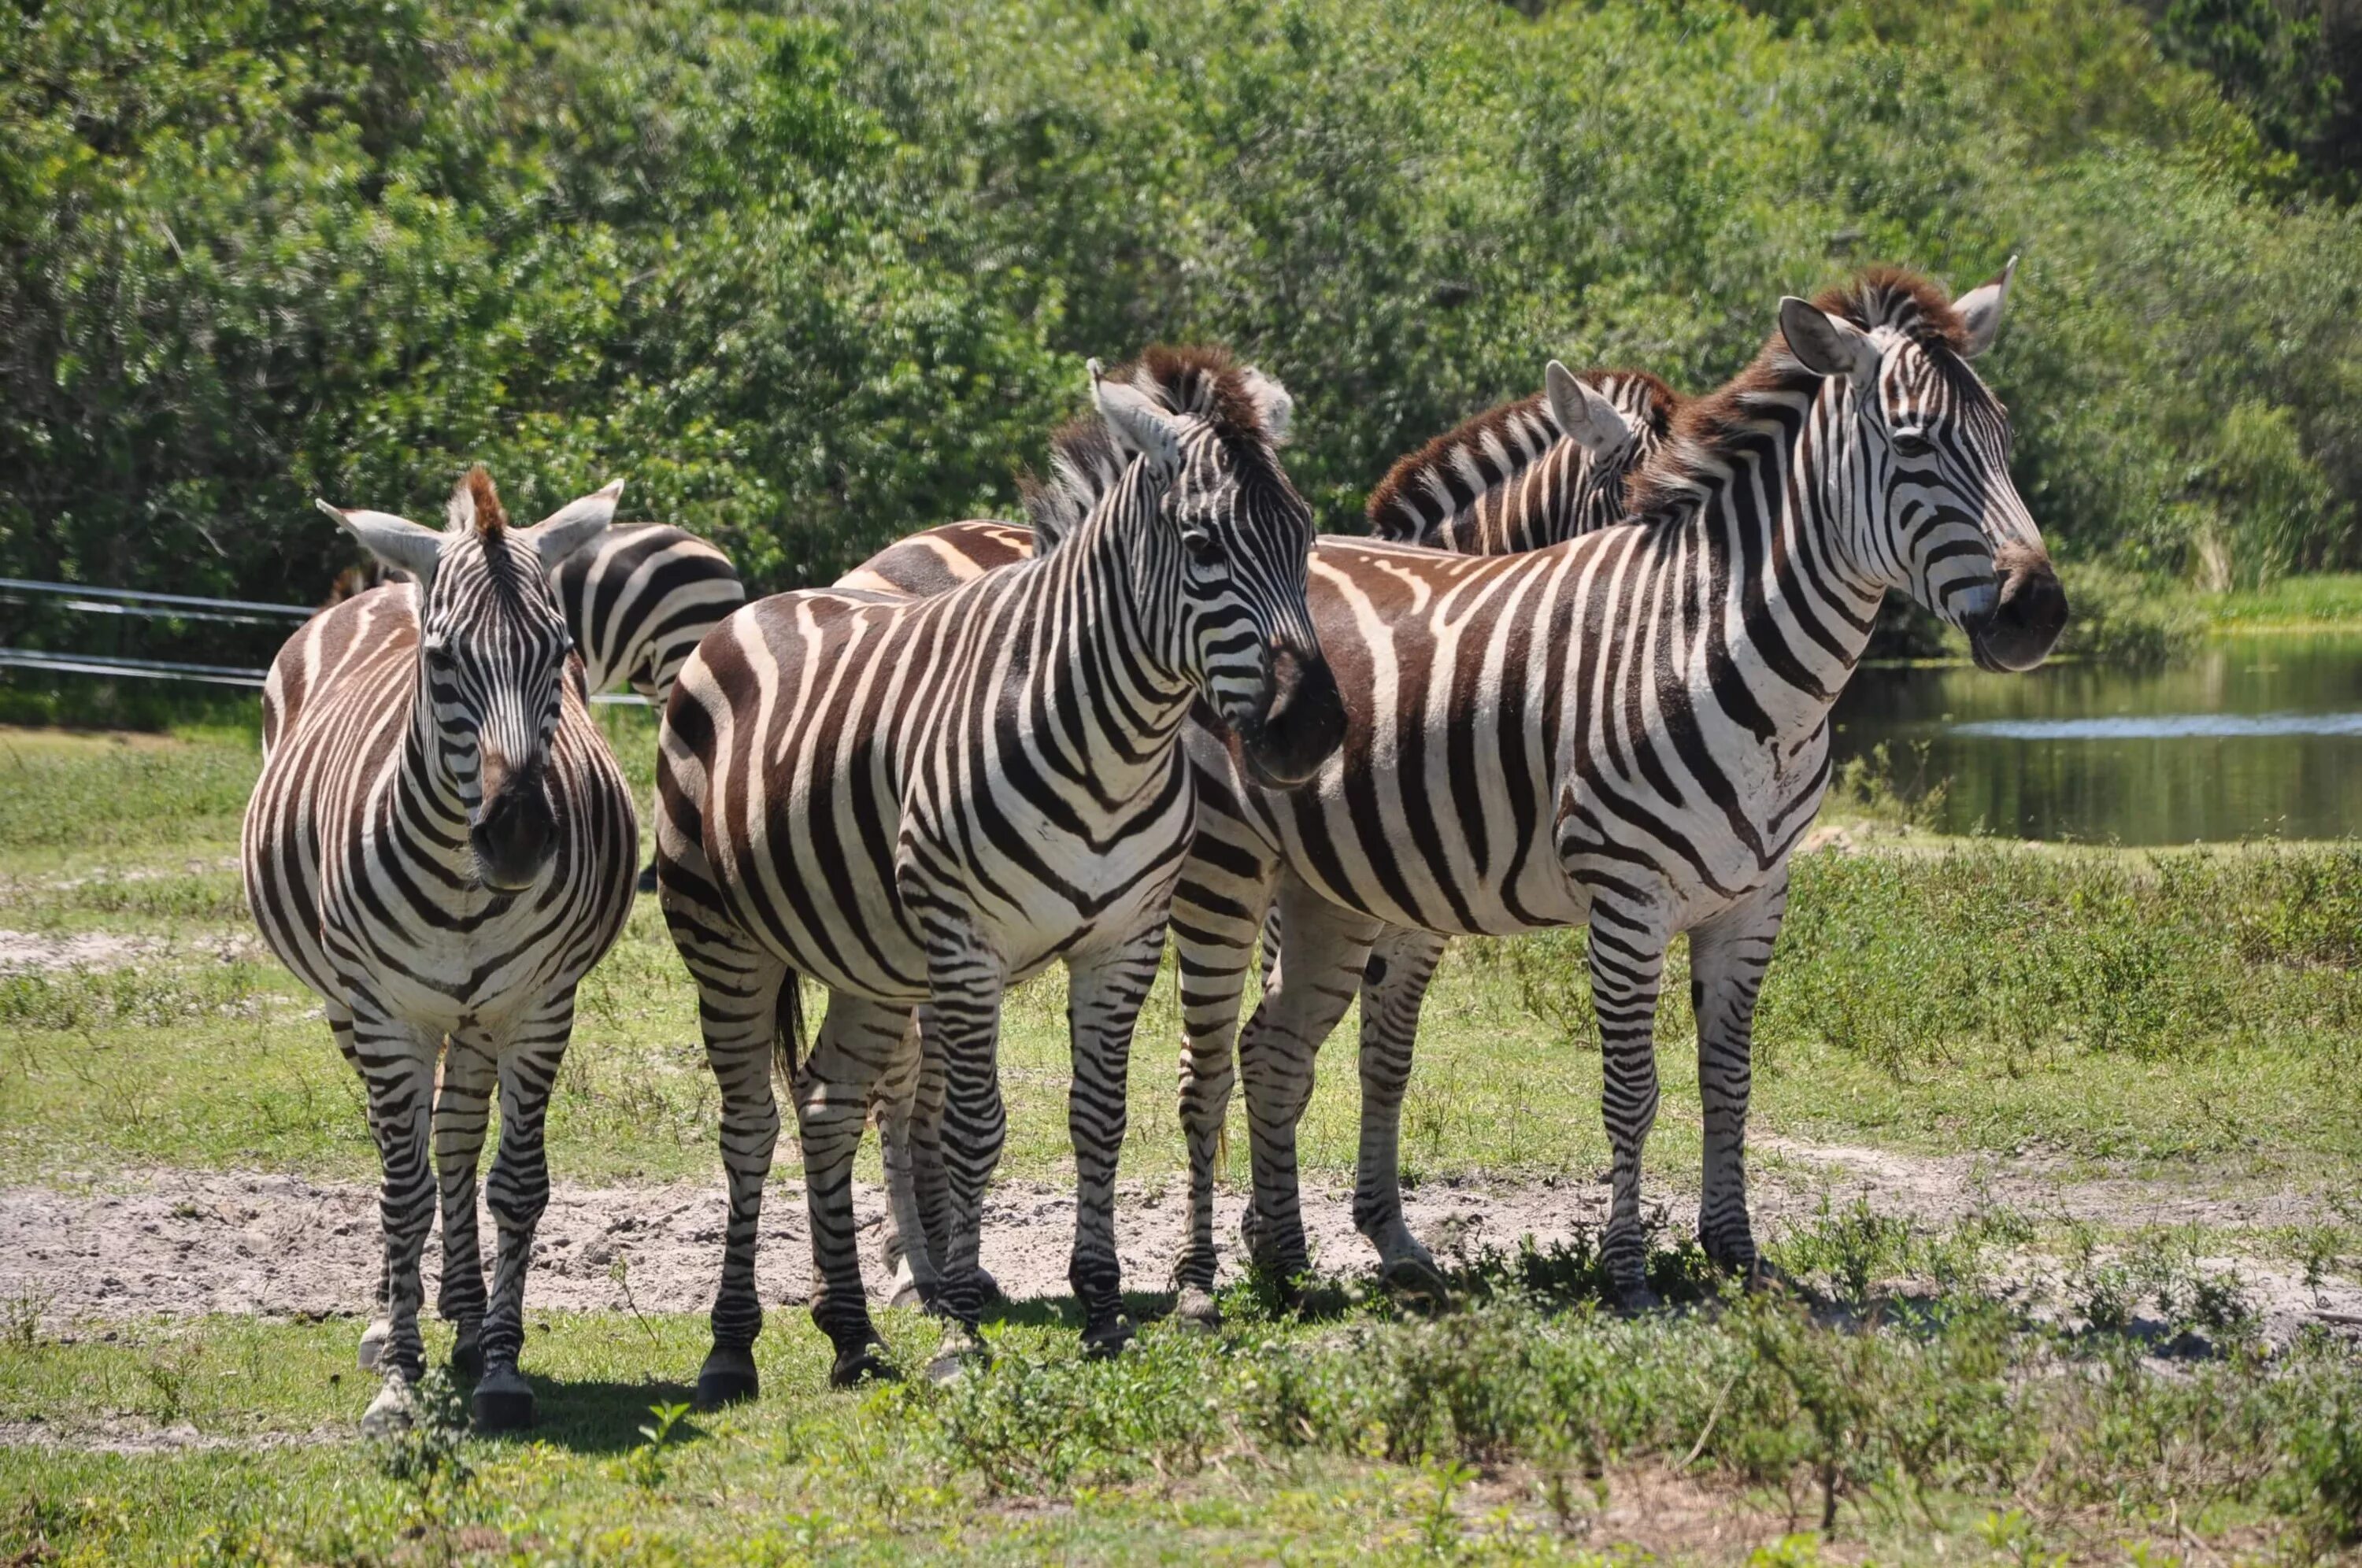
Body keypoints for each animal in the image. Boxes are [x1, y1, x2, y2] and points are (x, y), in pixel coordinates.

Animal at [239, 465, 638, 1436]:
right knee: (408, 1149)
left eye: (561, 654)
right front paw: (398, 1382)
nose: (521, 837)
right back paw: (394, 1321)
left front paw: (499, 1368)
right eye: (443, 659)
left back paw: (462, 1315)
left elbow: (514, 1182)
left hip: (478, 1017)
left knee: (454, 1139)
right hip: (350, 1007)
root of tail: (389, 584)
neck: (462, 888)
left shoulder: (538, 1007)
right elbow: (402, 1187)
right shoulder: (386, 1014)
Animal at [657, 352, 1342, 1398]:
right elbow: (974, 1127)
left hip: (869, 959)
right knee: (749, 1125)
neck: (1114, 744)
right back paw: (731, 1349)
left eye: (1304, 536)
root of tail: (761, 606)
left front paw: (1103, 1312)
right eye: (1200, 544)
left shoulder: (1123, 940)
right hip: (720, 938)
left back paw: (853, 1337)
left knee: (825, 1104)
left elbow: (1099, 1117)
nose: (1313, 730)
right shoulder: (966, 942)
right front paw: (962, 1330)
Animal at [1172, 267, 2060, 1313]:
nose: (2040, 612)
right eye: (1915, 444)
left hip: (1331, 887)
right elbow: (1632, 1090)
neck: (1730, 659)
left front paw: (1736, 1253)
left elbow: (1729, 1081)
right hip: (1230, 867)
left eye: (2003, 439)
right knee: (1214, 1057)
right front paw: (1628, 1270)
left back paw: (1286, 1263)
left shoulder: (1755, 900)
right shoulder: (1626, 895)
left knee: (1274, 1051)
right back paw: (1216, 1269)